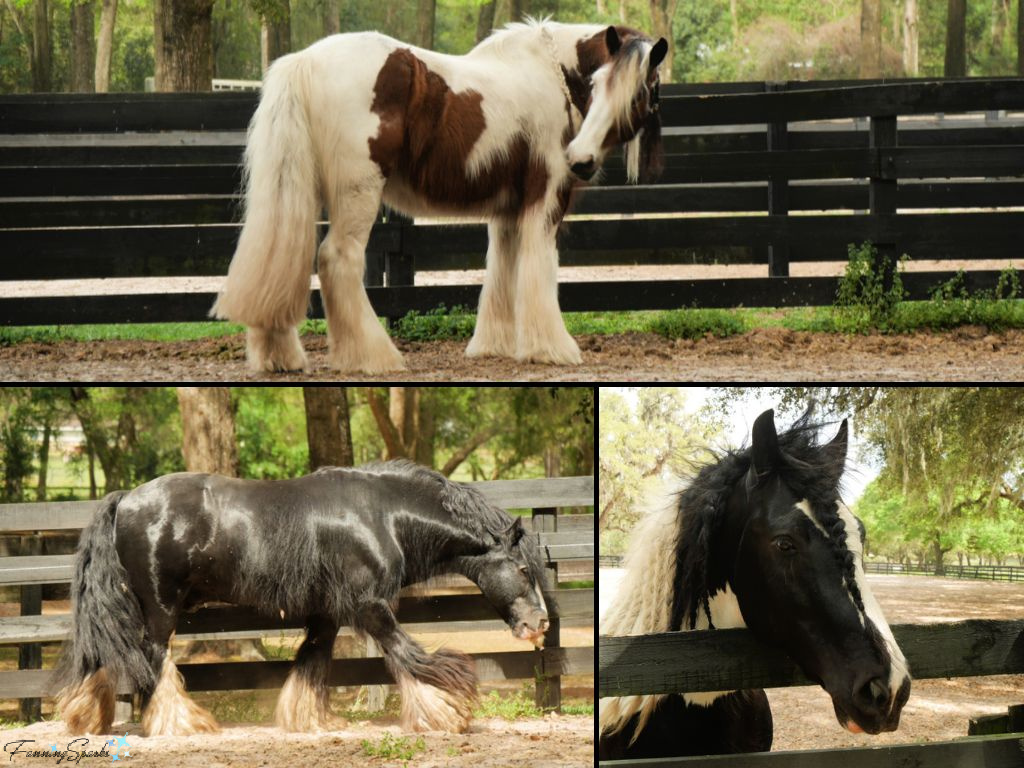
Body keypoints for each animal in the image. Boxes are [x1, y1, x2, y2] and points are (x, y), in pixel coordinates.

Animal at [54, 462, 552, 741]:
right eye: (523, 570)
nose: (540, 624)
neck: (381, 516)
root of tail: (125, 500)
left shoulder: (329, 613)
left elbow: (313, 661)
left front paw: (310, 720)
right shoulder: (370, 606)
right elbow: (407, 655)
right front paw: (448, 713)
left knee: (107, 655)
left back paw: (86, 718)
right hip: (160, 608)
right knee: (153, 659)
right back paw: (182, 725)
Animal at [211, 19, 667, 374]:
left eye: (638, 93)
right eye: (596, 84)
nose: (581, 159)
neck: (551, 74)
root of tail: (304, 60)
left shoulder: (507, 212)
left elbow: (502, 269)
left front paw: (494, 346)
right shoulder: (544, 200)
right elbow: (538, 270)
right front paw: (552, 349)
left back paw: (280, 357)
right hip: (358, 194)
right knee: (337, 259)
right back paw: (374, 357)